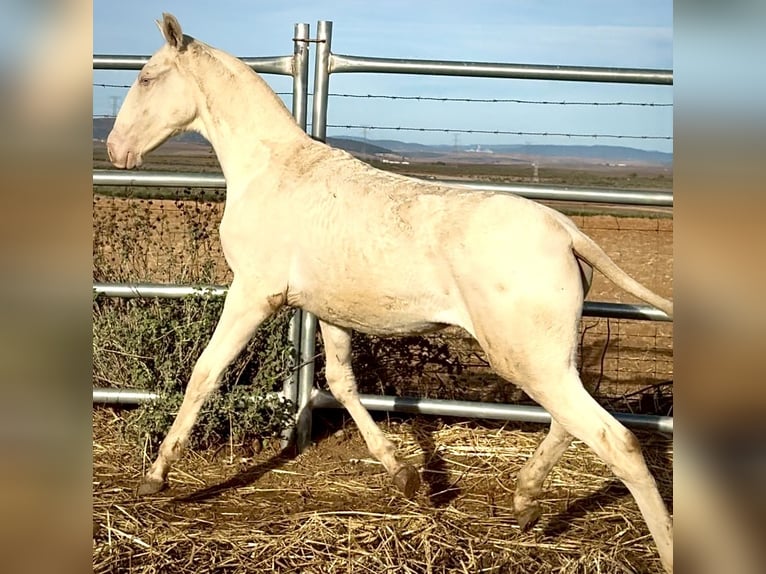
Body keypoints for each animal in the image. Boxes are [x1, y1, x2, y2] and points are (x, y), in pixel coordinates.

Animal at [107, 13, 673, 572]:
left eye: (147, 77)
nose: (115, 149)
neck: (270, 169)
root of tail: (568, 231)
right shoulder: (328, 309)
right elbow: (341, 383)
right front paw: (404, 474)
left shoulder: (253, 294)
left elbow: (205, 372)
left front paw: (155, 476)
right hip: (548, 358)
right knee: (570, 422)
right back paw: (525, 501)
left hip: (528, 359)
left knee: (617, 440)